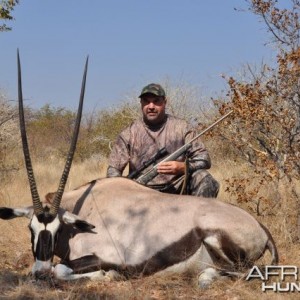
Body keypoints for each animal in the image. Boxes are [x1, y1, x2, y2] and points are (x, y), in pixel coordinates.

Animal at [0, 52, 278, 288]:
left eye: (57, 230)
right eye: (31, 229)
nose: (39, 273)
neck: (85, 212)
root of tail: (261, 228)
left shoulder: (109, 256)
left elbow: (62, 269)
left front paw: (106, 276)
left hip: (221, 244)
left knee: (246, 271)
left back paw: (204, 277)